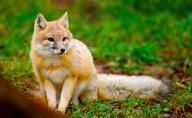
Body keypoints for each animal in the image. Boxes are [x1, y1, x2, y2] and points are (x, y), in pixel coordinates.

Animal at [30, 12, 171, 113]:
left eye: (64, 39)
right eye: (51, 39)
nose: (62, 50)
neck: (54, 64)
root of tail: (97, 81)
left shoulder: (71, 77)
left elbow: (65, 98)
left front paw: (60, 112)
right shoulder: (48, 79)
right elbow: (52, 101)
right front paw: (51, 110)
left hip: (80, 84)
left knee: (75, 100)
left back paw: (75, 107)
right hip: (43, 86)